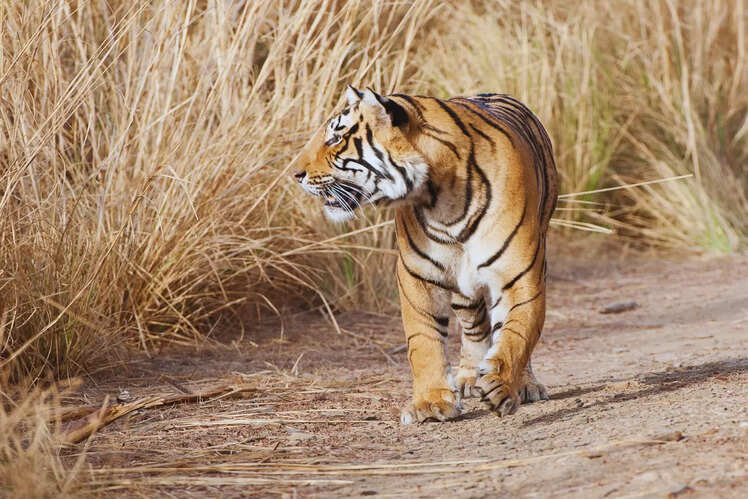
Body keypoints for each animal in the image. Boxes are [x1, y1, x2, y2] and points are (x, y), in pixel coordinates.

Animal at [293, 85, 558, 423]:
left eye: (336, 138)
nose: (295, 174)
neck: (442, 198)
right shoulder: (417, 275)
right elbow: (423, 341)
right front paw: (431, 403)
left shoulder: (519, 273)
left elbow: (517, 333)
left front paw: (502, 385)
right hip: (461, 288)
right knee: (474, 327)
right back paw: (470, 376)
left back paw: (523, 384)